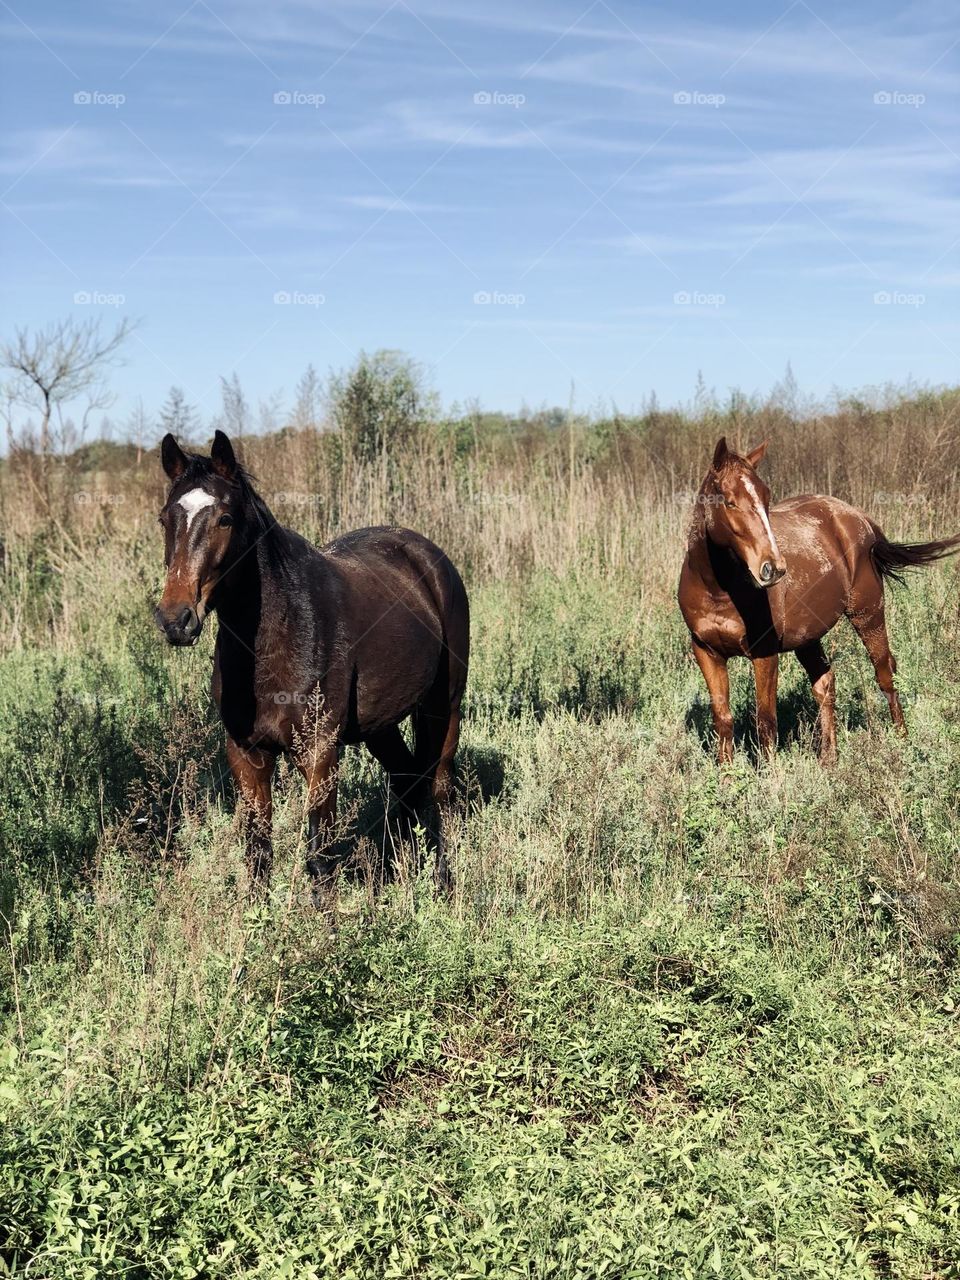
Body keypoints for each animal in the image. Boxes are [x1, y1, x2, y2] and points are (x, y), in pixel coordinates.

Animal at [155, 430, 469, 893]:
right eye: (165, 519)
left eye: (225, 519)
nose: (176, 619)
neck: (279, 639)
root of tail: (428, 557)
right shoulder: (246, 754)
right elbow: (257, 854)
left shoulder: (320, 753)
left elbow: (319, 858)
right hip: (379, 726)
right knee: (407, 780)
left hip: (442, 708)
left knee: (439, 788)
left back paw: (443, 879)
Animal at [678, 436, 960, 764]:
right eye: (729, 501)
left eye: (766, 498)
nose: (773, 568)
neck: (718, 590)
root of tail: (857, 517)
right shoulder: (706, 652)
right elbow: (723, 720)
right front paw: (725, 775)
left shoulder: (764, 653)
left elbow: (766, 721)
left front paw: (769, 776)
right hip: (808, 636)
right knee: (825, 684)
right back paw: (829, 759)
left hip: (869, 614)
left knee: (885, 675)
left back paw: (902, 741)